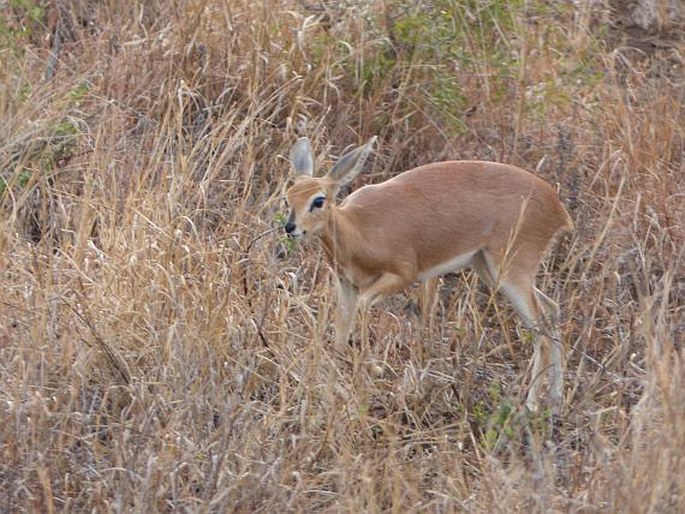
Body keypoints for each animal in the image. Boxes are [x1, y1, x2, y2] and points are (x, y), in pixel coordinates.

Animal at [282, 136, 572, 412]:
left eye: (319, 200)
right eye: (289, 195)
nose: (290, 227)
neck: (357, 230)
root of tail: (558, 207)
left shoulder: (402, 275)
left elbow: (363, 309)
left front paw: (373, 370)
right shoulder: (346, 285)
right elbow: (340, 335)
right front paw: (327, 401)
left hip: (511, 272)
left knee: (541, 332)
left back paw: (531, 407)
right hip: (490, 270)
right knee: (552, 310)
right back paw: (555, 402)